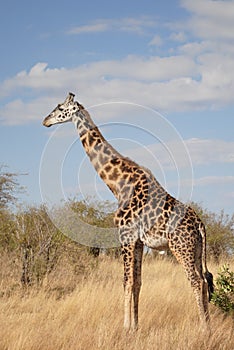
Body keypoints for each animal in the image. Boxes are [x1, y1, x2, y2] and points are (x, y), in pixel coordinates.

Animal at [42, 92, 214, 330]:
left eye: (59, 108)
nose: (45, 121)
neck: (118, 184)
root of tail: (200, 224)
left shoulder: (125, 235)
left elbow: (126, 281)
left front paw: (126, 327)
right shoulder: (139, 241)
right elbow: (138, 282)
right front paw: (136, 325)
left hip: (181, 247)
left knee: (196, 281)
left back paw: (204, 328)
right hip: (196, 249)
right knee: (205, 280)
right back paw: (208, 325)